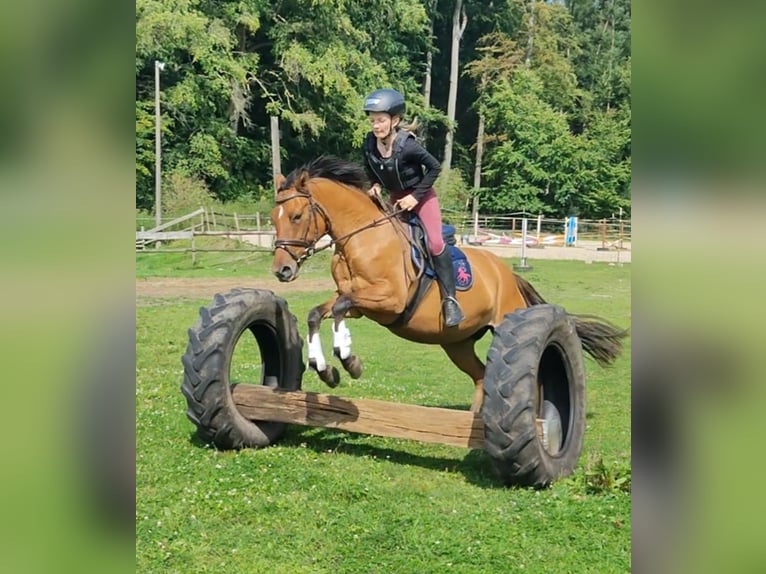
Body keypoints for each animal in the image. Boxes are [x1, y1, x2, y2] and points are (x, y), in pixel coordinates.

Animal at [270, 155, 624, 412]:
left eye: (297, 216)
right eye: (274, 219)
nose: (282, 270)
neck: (361, 238)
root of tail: (509, 275)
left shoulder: (388, 301)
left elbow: (341, 310)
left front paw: (349, 360)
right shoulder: (356, 301)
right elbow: (319, 313)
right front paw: (325, 369)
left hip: (504, 324)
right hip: (457, 343)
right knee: (480, 376)